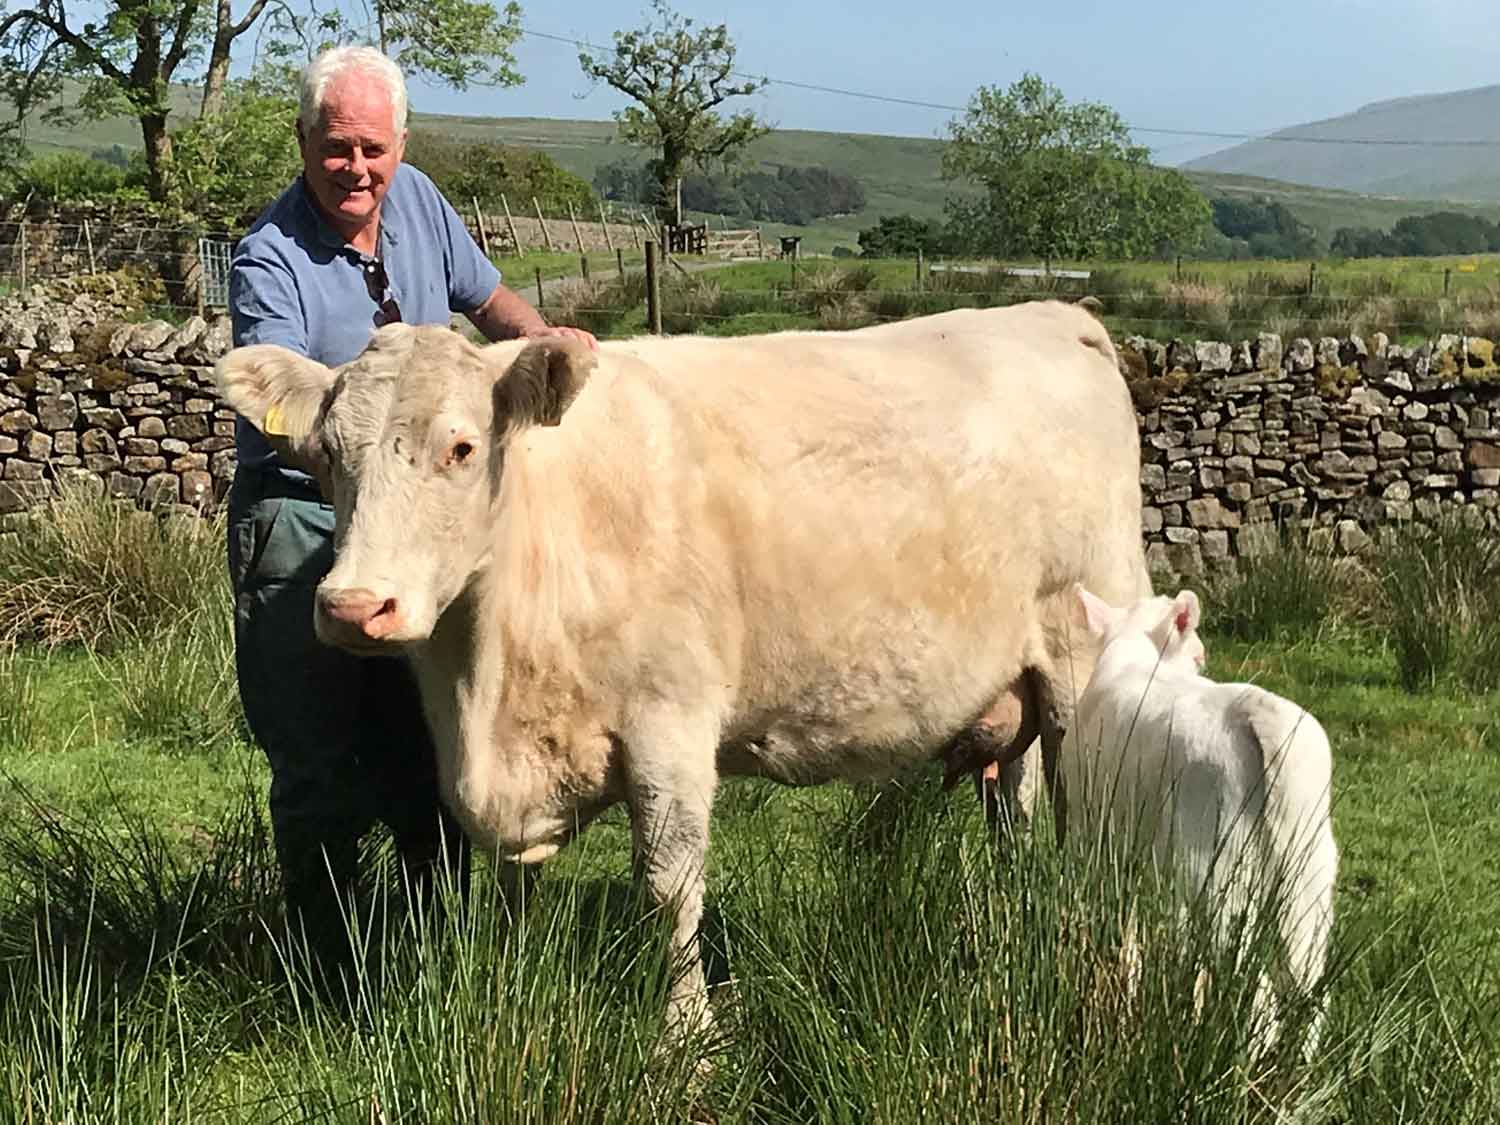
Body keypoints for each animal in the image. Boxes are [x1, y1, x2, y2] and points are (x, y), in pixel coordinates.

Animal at [211, 301, 1146, 1038]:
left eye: (462, 448)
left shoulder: (671, 723)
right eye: (327, 455)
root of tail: (1055, 315)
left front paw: (685, 1040)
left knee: (1101, 832)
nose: (353, 606)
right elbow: (512, 889)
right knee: (1017, 811)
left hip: (1085, 660)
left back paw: (1109, 979)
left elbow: (668, 887)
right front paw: (507, 994)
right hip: (1019, 684)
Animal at [1062, 582, 1344, 1056]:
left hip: (1214, 868)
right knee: (1308, 986)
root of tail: (1254, 710)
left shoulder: (1095, 838)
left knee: (1255, 988)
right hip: (1311, 867)